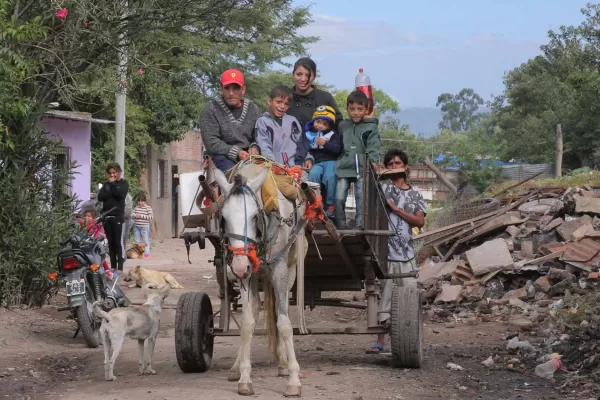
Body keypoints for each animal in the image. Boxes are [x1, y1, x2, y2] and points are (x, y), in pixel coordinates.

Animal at [213, 165, 308, 396]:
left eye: (255, 216)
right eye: (223, 217)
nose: (239, 265)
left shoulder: (280, 269)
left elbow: (284, 323)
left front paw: (293, 380)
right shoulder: (248, 275)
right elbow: (247, 323)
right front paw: (245, 377)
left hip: (291, 269)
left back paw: (283, 365)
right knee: (255, 311)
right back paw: (236, 367)